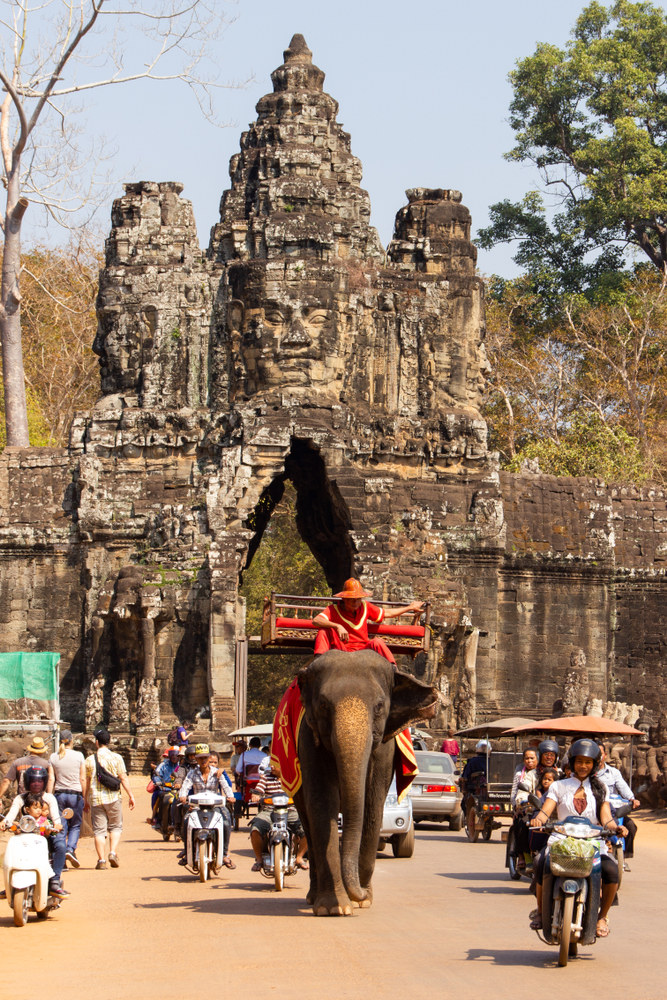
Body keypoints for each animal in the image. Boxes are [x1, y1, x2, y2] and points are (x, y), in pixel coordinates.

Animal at [294, 648, 440, 916]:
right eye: (323, 705)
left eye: (380, 706)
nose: (360, 892)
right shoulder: (308, 740)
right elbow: (322, 804)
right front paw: (334, 908)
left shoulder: (384, 749)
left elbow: (372, 806)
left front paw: (361, 901)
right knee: (306, 822)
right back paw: (313, 897)